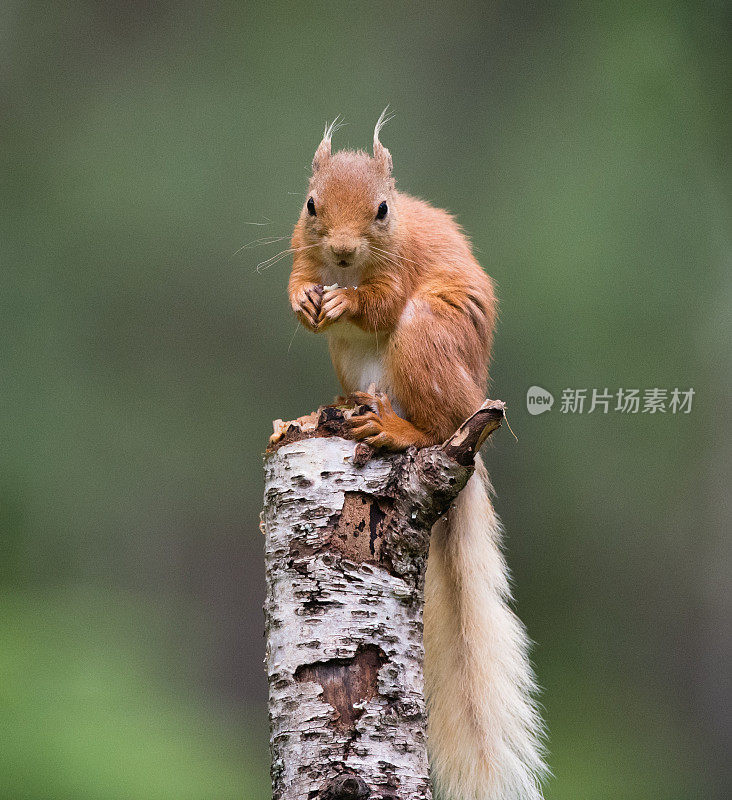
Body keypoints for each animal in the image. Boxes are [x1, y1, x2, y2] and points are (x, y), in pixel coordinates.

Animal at [286, 114, 544, 800]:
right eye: (311, 204)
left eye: (382, 210)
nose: (342, 253)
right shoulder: (300, 247)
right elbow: (297, 282)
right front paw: (306, 302)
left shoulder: (400, 271)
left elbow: (377, 302)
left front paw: (347, 301)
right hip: (354, 360)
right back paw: (337, 408)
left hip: (428, 339)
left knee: (433, 424)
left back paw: (397, 427)